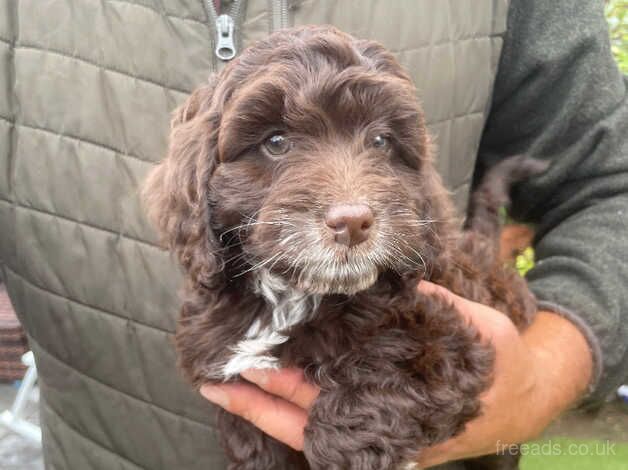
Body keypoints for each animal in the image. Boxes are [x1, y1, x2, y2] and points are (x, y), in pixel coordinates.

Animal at [142, 25, 540, 470]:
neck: (292, 297)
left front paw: (348, 445)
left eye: (381, 141)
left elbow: (401, 359)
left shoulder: (453, 338)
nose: (352, 221)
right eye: (275, 141)